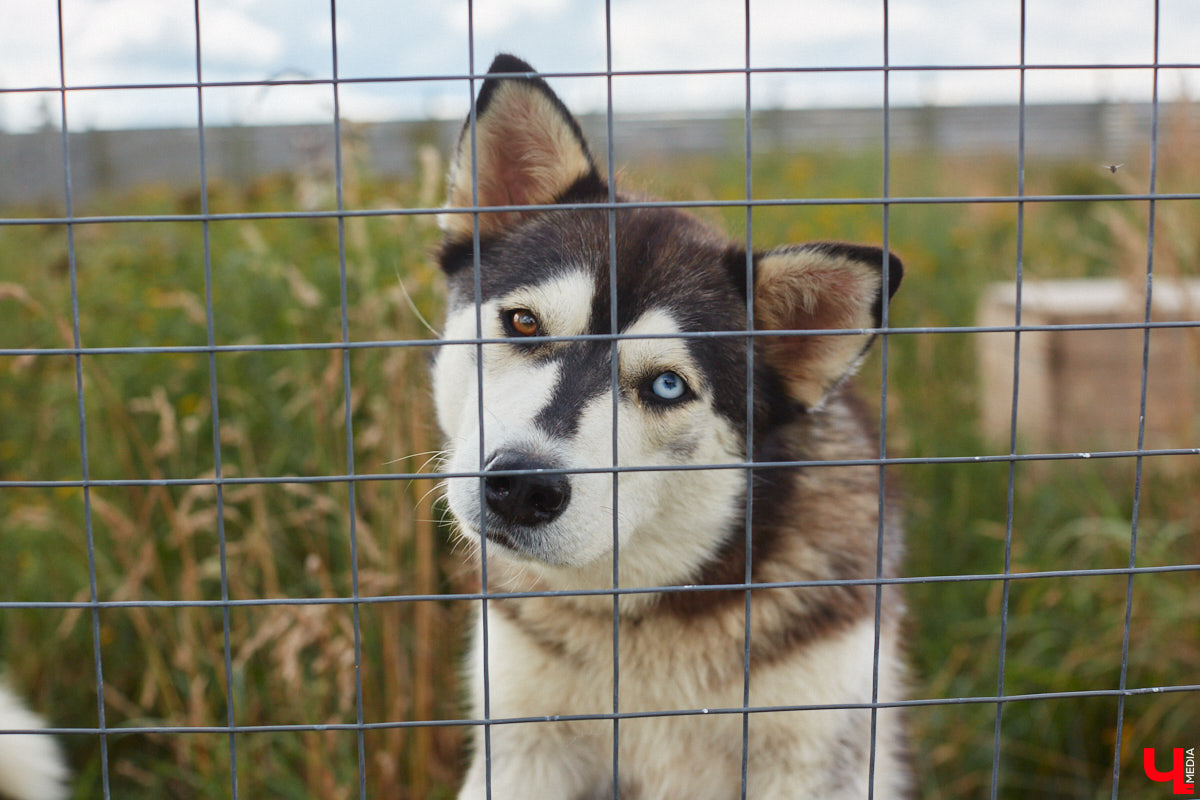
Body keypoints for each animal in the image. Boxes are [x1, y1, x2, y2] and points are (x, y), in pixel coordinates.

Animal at [434, 53, 907, 796]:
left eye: (666, 385)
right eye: (524, 323)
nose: (522, 487)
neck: (646, 611)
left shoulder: (809, 753)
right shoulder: (523, 745)